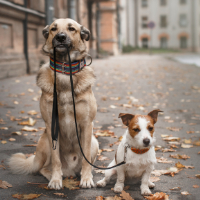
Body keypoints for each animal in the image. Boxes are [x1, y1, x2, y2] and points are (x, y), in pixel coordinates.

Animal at [8, 18, 99, 189]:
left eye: (71, 29)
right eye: (53, 29)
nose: (60, 37)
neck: (65, 71)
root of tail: (70, 170)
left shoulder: (86, 125)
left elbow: (86, 160)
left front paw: (86, 178)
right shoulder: (51, 125)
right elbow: (56, 160)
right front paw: (56, 180)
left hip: (94, 141)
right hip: (45, 141)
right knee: (43, 168)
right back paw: (53, 175)